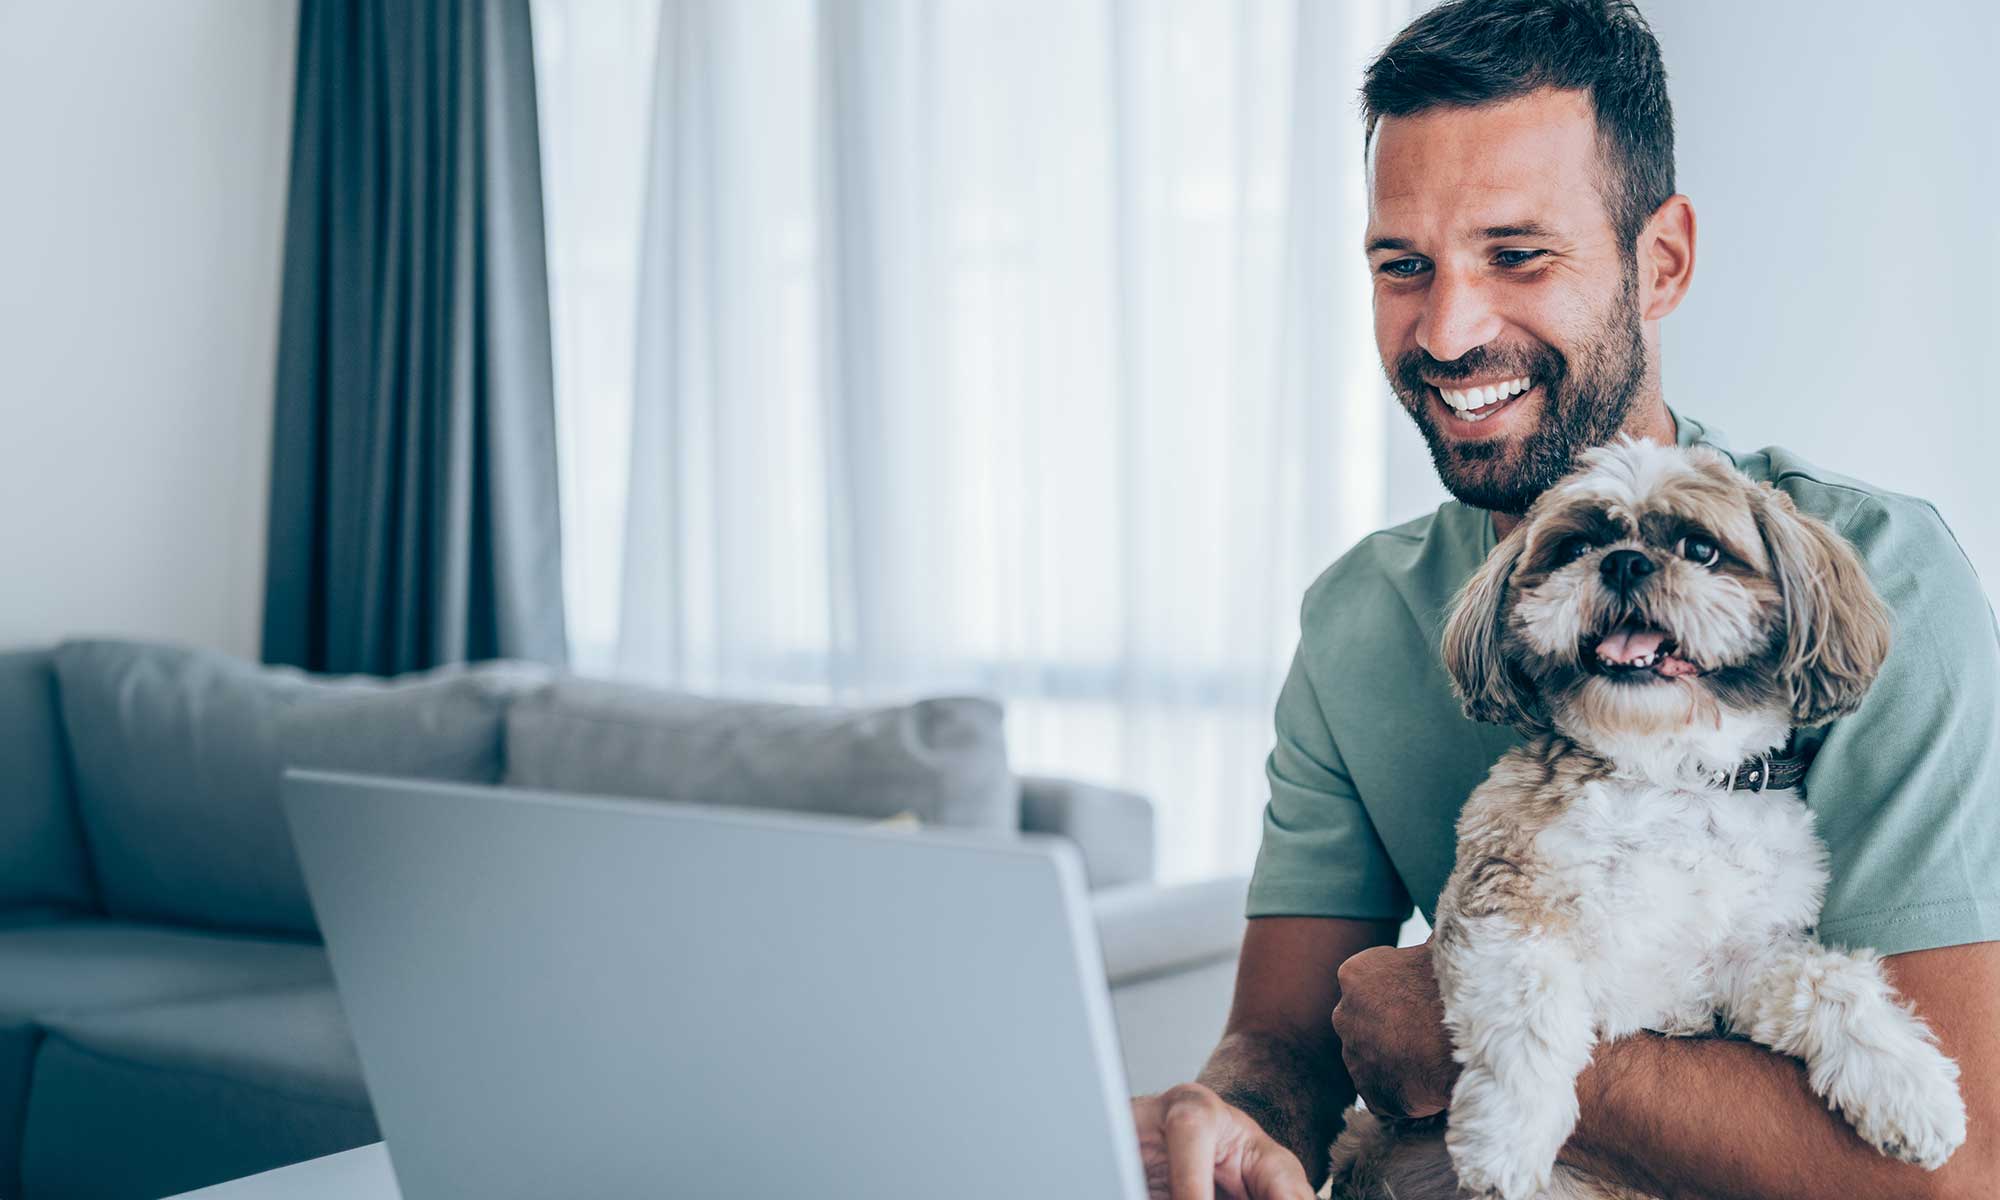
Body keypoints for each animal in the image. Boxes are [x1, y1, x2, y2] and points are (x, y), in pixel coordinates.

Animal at [1328, 440, 1968, 1200]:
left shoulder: (1741, 957)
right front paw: (1506, 1135)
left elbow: (1828, 985)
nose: (1625, 562)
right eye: (1576, 546)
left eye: (1701, 547)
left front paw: (1910, 1087)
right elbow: (1531, 1006)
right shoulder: (1507, 898)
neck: (1667, 776)